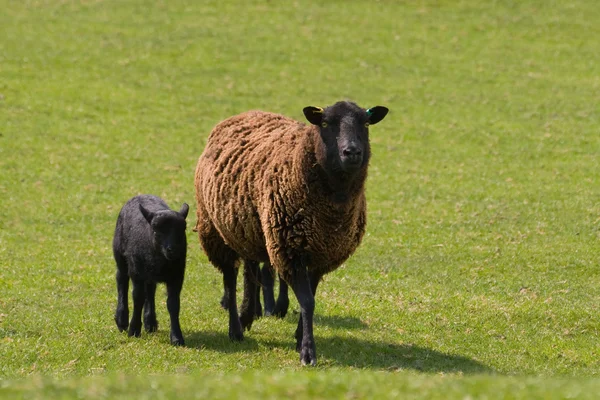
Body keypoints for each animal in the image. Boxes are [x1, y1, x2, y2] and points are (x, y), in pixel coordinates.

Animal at [112, 194, 188, 344]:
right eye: (155, 229)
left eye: (183, 229)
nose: (172, 250)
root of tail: (141, 195)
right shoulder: (137, 272)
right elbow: (138, 299)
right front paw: (133, 330)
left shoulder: (177, 275)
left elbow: (173, 304)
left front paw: (176, 337)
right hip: (121, 256)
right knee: (121, 280)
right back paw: (122, 319)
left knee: (150, 290)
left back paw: (150, 322)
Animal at [195, 101, 386, 366]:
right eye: (325, 123)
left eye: (366, 123)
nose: (352, 152)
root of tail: (247, 113)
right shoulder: (291, 250)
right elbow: (307, 301)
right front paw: (307, 351)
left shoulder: (321, 253)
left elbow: (311, 297)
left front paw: (298, 336)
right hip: (216, 231)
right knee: (230, 280)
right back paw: (235, 329)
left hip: (250, 232)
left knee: (250, 272)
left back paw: (248, 315)